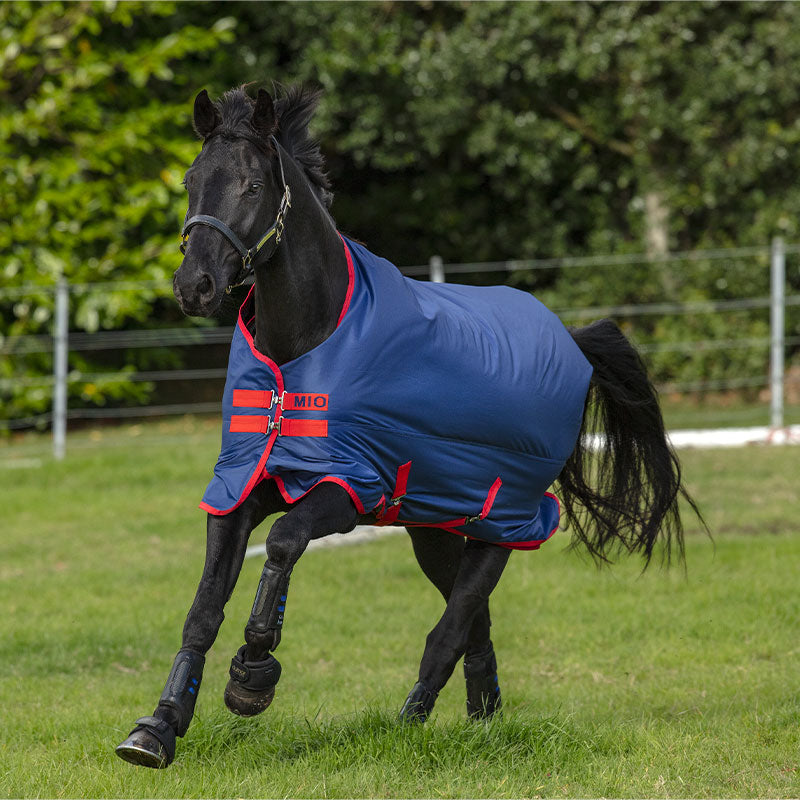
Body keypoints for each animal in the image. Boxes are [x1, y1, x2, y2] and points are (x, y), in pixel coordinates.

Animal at [116, 85, 701, 768]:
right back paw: (483, 718)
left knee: (452, 627)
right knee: (474, 621)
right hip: (436, 527)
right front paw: (157, 728)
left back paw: (411, 722)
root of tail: (572, 343)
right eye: (191, 181)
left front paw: (251, 679)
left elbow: (284, 543)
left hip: (505, 523)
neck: (306, 348)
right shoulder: (241, 485)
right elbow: (204, 607)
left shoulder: (347, 488)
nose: (195, 286)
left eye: (252, 185)